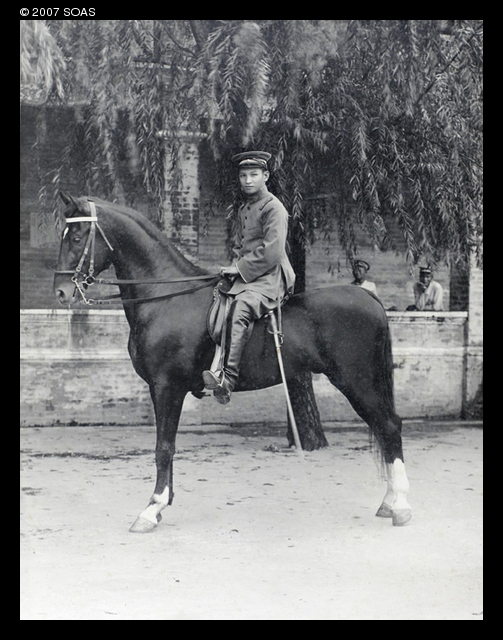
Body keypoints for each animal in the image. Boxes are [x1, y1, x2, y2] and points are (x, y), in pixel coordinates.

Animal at [53, 193, 411, 532]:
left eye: (77, 237)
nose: (60, 291)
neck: (166, 298)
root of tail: (369, 298)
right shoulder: (162, 389)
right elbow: (167, 447)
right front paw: (163, 503)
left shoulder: (167, 387)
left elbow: (164, 447)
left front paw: (152, 508)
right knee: (385, 428)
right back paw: (389, 502)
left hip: (357, 382)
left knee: (390, 426)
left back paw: (401, 507)